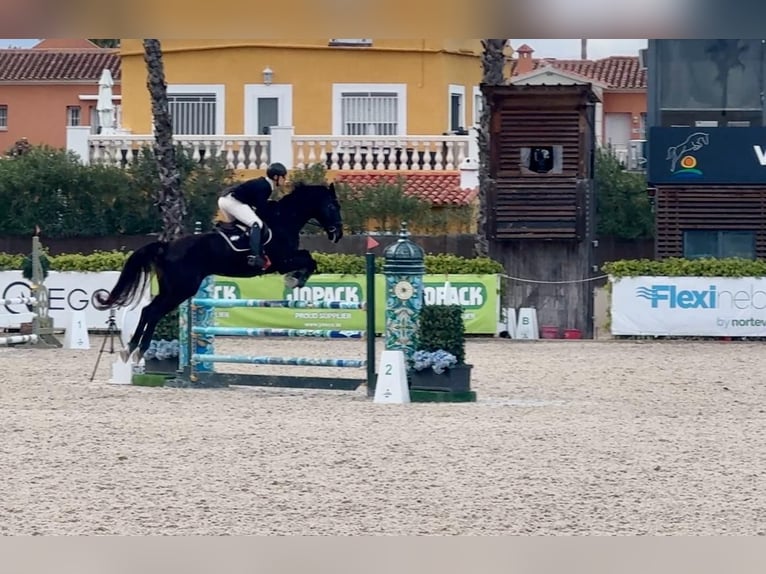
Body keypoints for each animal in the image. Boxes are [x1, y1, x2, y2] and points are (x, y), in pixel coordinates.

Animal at [94, 182, 344, 363]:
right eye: (333, 207)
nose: (338, 234)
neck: (284, 220)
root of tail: (166, 245)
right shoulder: (282, 260)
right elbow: (308, 259)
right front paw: (295, 280)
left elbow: (309, 259)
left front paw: (295, 279)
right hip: (181, 289)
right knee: (153, 312)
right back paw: (137, 350)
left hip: (172, 289)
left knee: (148, 310)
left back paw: (131, 349)